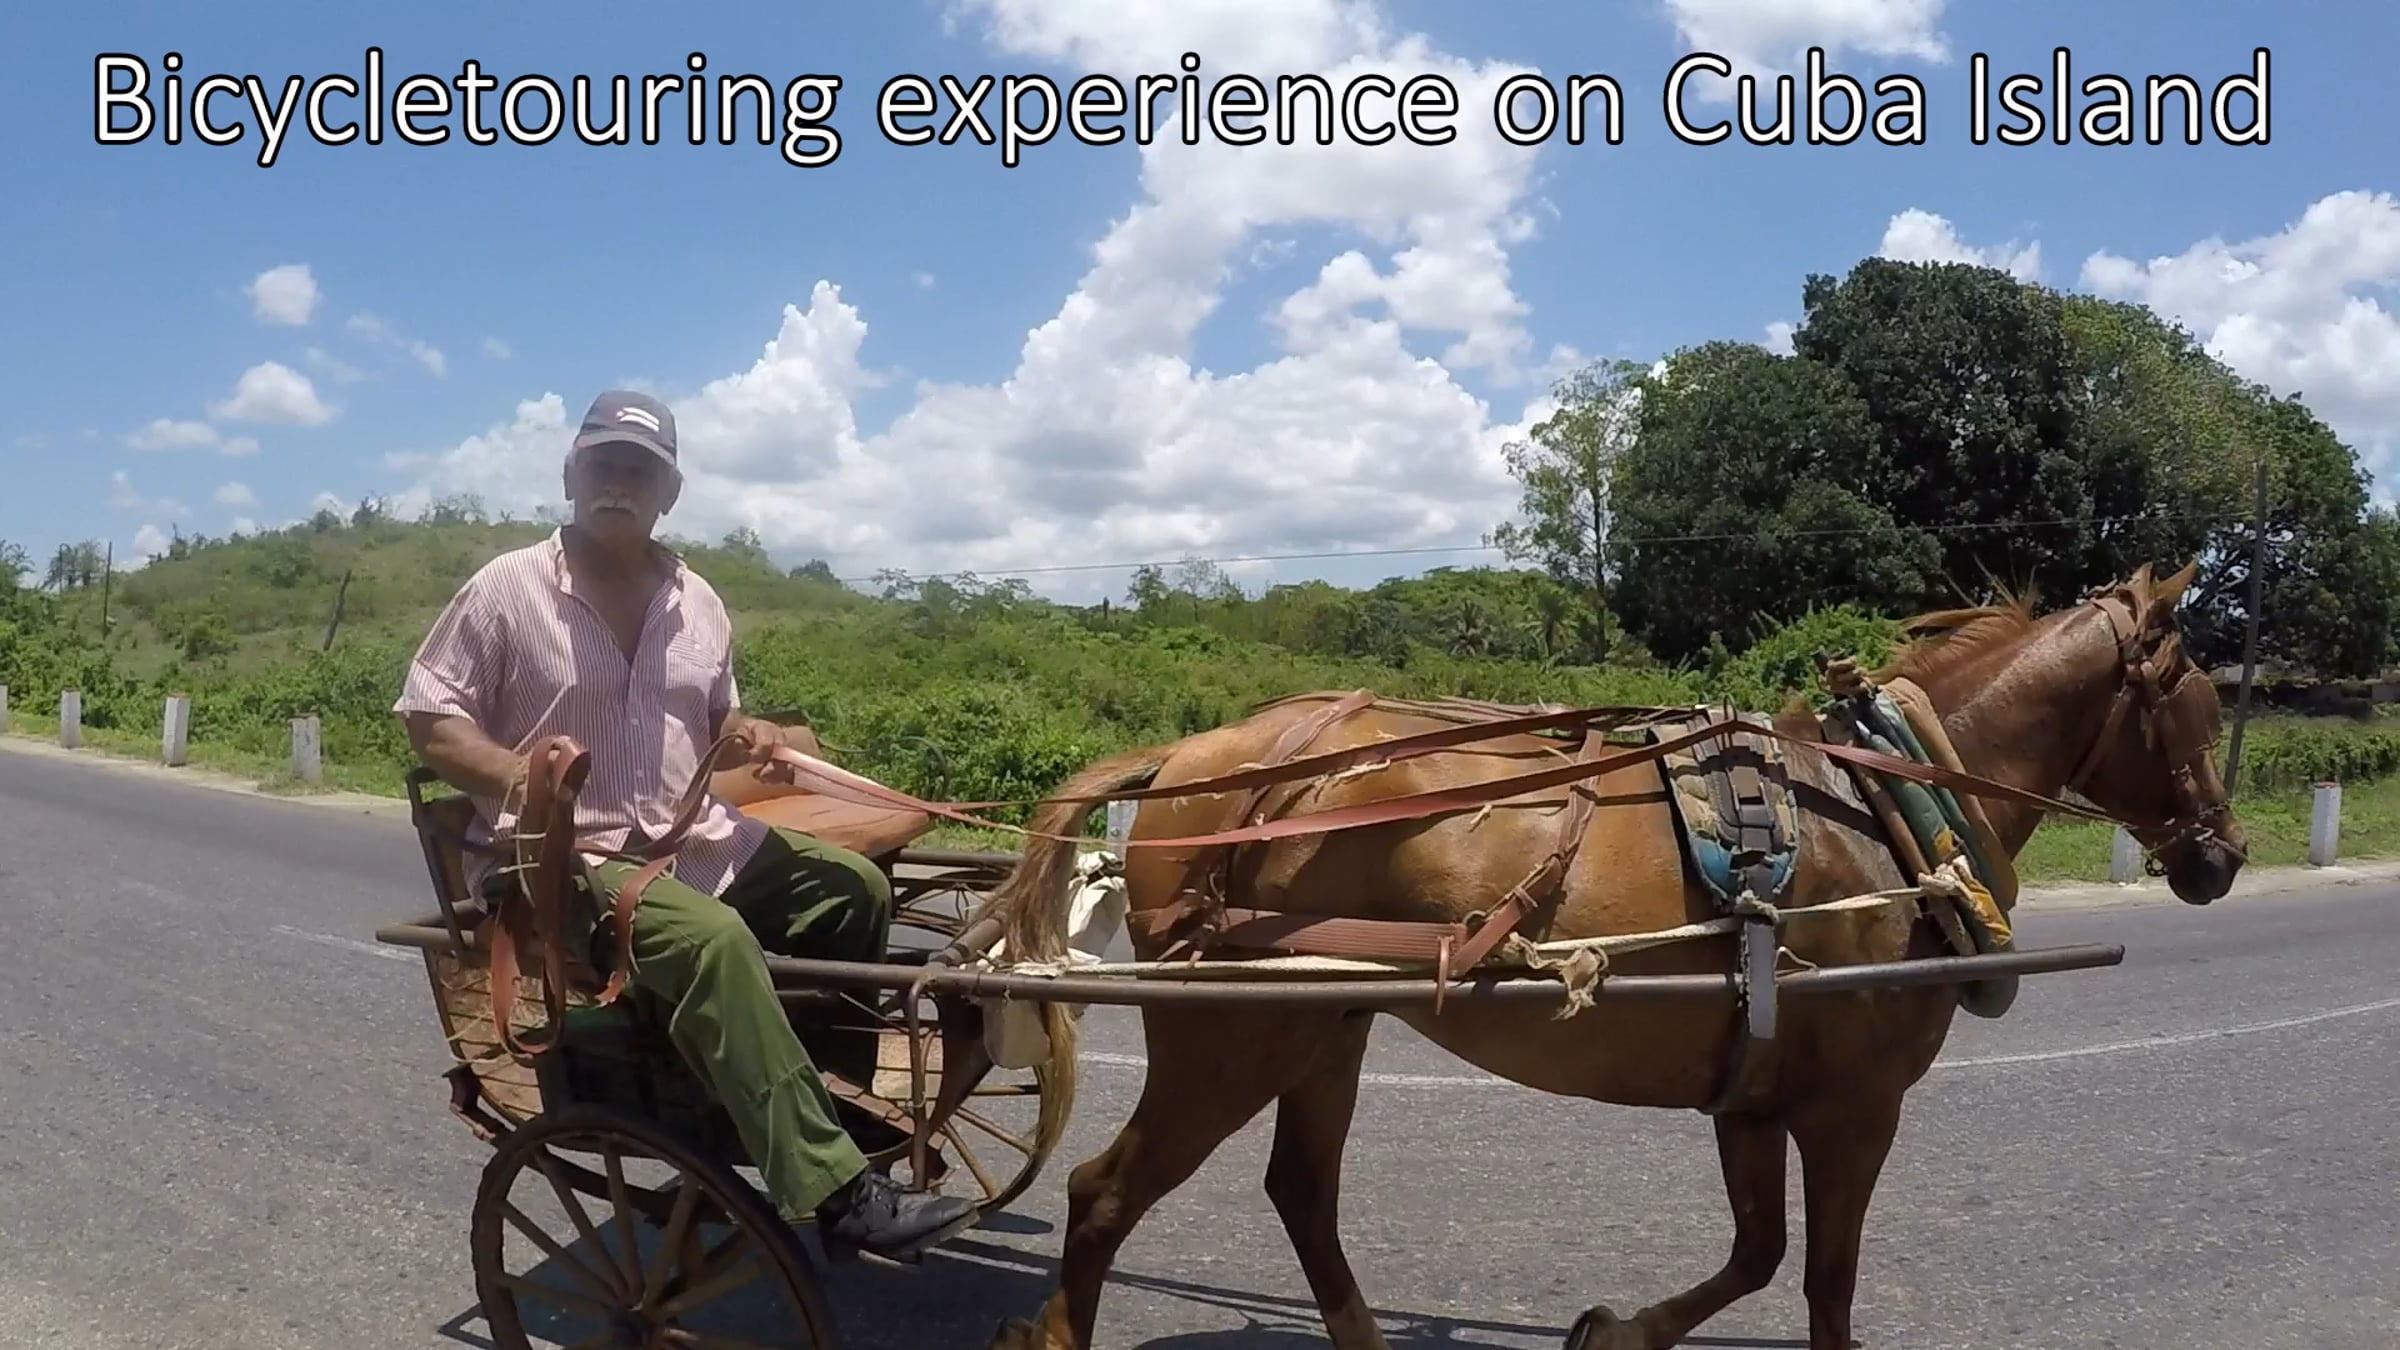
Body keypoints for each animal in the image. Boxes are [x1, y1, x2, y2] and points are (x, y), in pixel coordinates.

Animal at [972, 561, 2245, 1350]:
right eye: (2199, 701)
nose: (2221, 857)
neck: (1887, 807)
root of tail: (1194, 756)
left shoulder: (1753, 1090)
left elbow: (1757, 1253)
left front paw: (1618, 1328)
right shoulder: (1856, 1106)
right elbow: (1823, 1287)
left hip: (1322, 1021)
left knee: (1302, 1192)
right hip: (1233, 1033)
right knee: (1102, 1195)